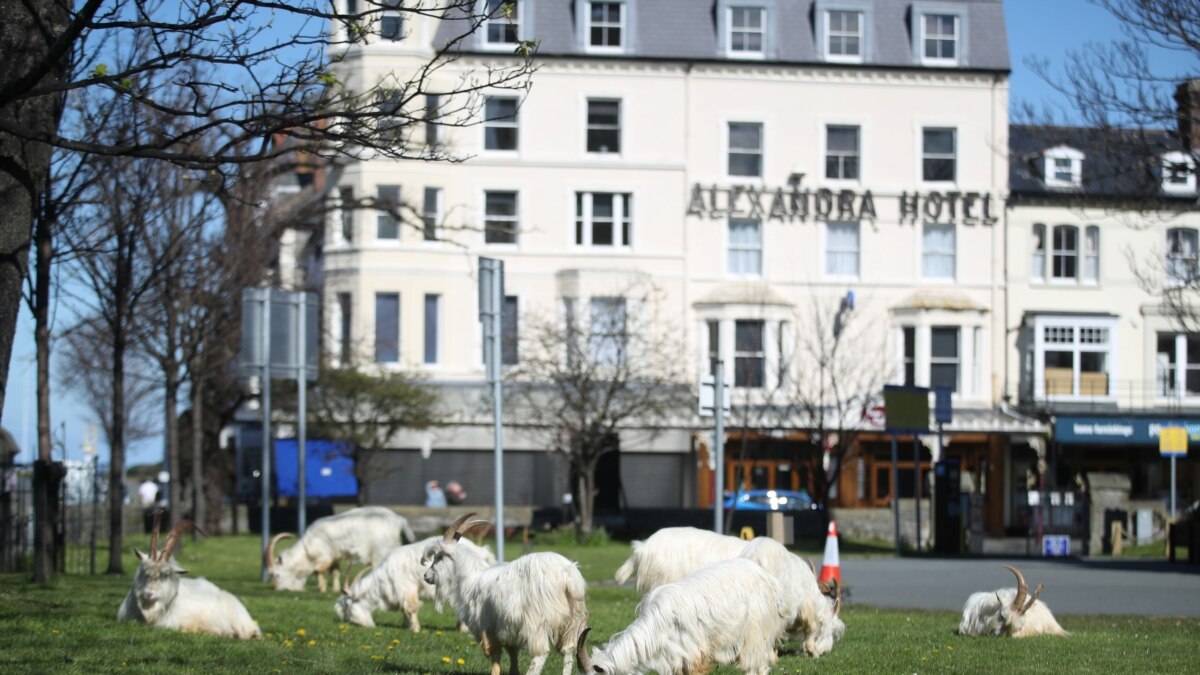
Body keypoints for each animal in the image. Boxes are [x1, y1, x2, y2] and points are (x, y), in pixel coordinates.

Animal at [265, 504, 415, 588]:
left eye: (276, 575)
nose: (280, 589)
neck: (307, 548)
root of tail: (399, 521)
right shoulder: (336, 557)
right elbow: (335, 572)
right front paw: (335, 589)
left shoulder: (325, 555)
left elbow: (317, 570)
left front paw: (322, 587)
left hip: (380, 553)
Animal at [333, 533, 496, 629]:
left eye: (347, 607)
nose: (367, 626)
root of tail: (482, 551)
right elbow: (404, 609)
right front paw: (405, 625)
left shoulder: (406, 587)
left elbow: (410, 607)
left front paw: (415, 629)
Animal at [422, 509, 590, 672]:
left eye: (439, 557)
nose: (426, 576)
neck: (470, 578)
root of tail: (568, 574)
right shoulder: (508, 629)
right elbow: (512, 653)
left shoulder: (489, 627)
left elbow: (495, 656)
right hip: (572, 620)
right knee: (568, 650)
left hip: (537, 622)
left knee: (541, 653)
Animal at [576, 554, 792, 672]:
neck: (658, 626)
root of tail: (771, 580)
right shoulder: (674, 658)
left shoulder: (693, 653)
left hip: (757, 631)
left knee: (757, 665)